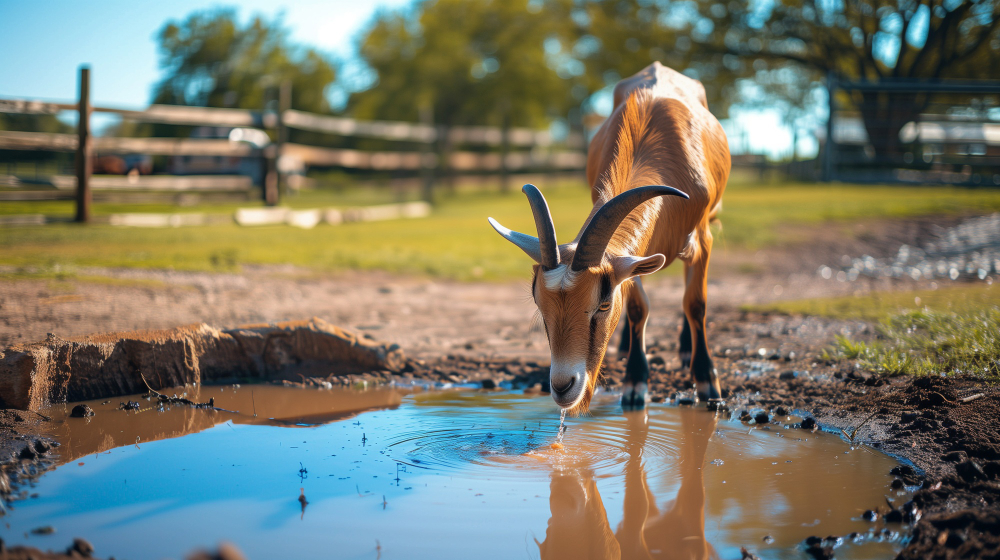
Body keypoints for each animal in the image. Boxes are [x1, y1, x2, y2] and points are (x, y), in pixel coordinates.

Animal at [490, 61, 732, 414]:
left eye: (603, 304)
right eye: (539, 302)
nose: (563, 387)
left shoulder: (702, 239)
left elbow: (696, 303)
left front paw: (707, 383)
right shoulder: (632, 259)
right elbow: (638, 308)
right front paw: (634, 384)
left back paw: (686, 347)